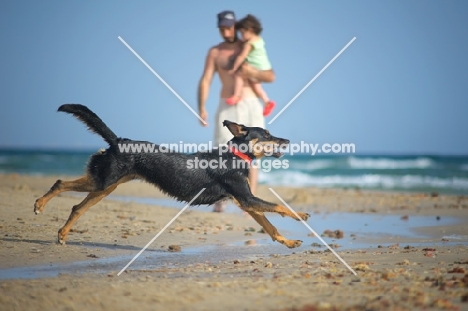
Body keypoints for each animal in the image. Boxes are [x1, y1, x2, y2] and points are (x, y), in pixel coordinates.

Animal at [33, 105, 310, 249]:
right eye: (266, 134)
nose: (287, 141)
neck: (235, 155)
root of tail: (118, 140)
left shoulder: (246, 202)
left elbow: (271, 226)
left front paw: (287, 242)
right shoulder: (247, 199)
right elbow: (279, 206)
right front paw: (301, 215)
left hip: (105, 185)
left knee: (75, 205)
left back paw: (61, 232)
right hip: (103, 181)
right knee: (63, 186)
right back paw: (40, 205)